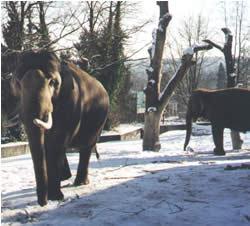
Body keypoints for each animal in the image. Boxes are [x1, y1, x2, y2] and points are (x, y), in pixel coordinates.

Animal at [10, 50, 109, 206]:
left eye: (53, 82)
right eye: (17, 83)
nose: (42, 203)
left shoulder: (71, 103)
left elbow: (56, 142)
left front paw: (55, 197)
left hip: (100, 121)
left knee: (86, 147)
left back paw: (80, 182)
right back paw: (67, 178)